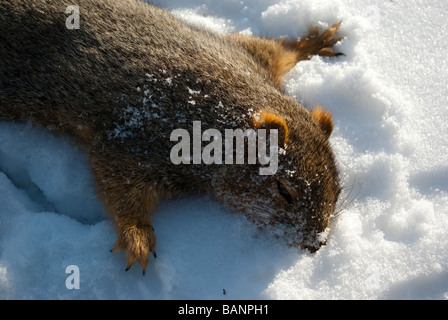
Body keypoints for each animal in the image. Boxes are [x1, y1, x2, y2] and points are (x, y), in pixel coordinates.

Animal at [0, 0, 344, 276]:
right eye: (284, 191)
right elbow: (117, 182)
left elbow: (278, 50)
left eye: (338, 189)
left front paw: (314, 43)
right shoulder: (137, 137)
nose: (317, 244)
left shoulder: (246, 53)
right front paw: (137, 235)